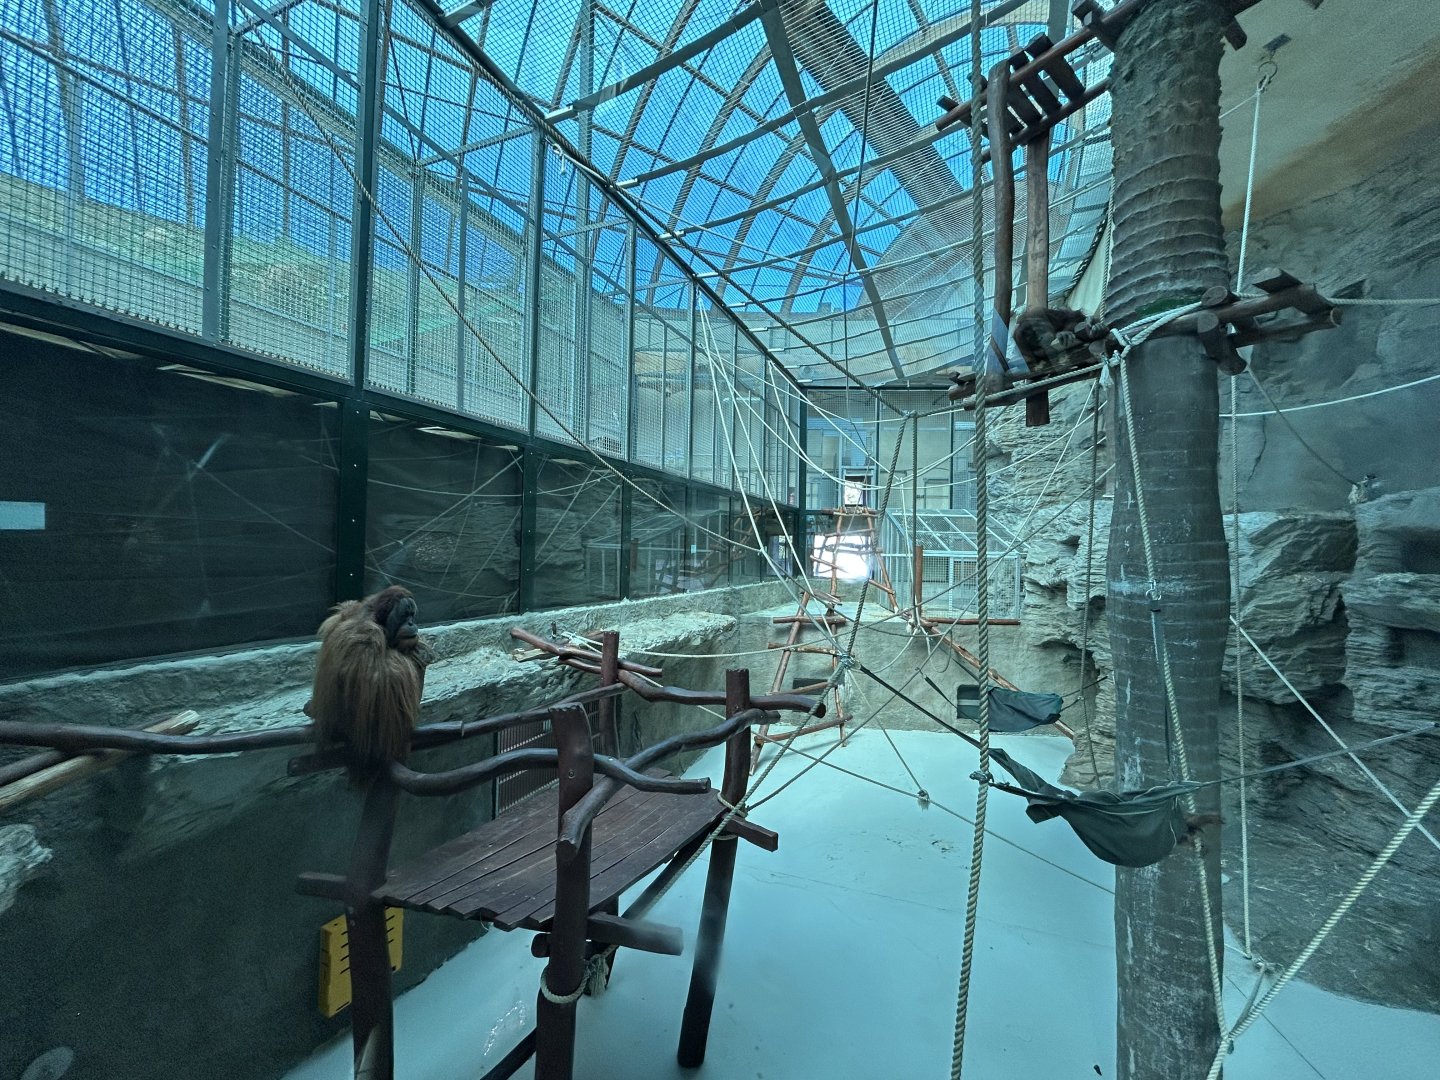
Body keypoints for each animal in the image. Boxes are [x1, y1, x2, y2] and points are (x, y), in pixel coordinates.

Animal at [305, 586, 433, 781]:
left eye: (412, 615)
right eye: (405, 615)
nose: (412, 623)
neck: (379, 620)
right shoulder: (368, 634)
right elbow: (379, 681)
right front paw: (420, 649)